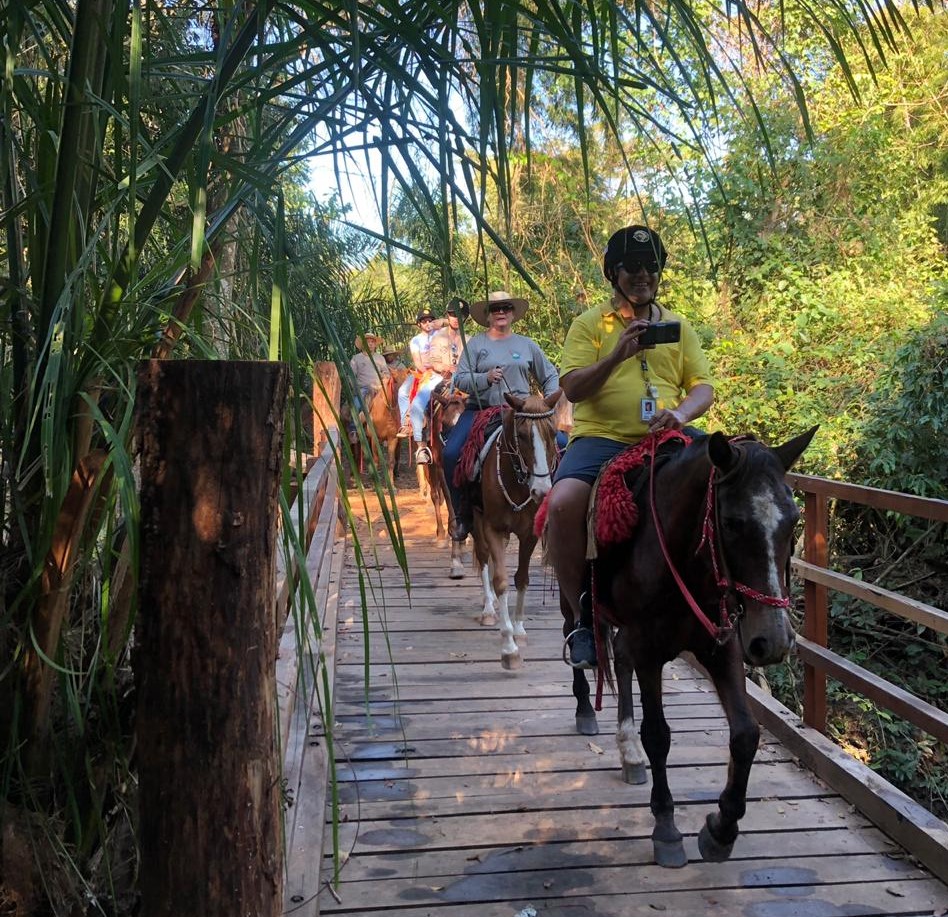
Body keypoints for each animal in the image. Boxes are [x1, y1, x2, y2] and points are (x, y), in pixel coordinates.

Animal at [468, 386, 560, 664]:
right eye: (522, 435)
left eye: (553, 433)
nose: (541, 490)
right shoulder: (493, 529)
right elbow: (500, 580)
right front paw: (509, 647)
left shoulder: (529, 534)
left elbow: (521, 579)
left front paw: (519, 630)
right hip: (476, 518)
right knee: (483, 557)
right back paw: (489, 610)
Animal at [568, 422, 820, 864]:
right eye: (732, 523)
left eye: (792, 522)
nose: (773, 640)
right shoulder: (649, 651)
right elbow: (658, 735)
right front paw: (666, 828)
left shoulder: (722, 646)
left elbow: (746, 734)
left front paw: (721, 829)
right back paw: (586, 705)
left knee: (620, 659)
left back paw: (628, 752)